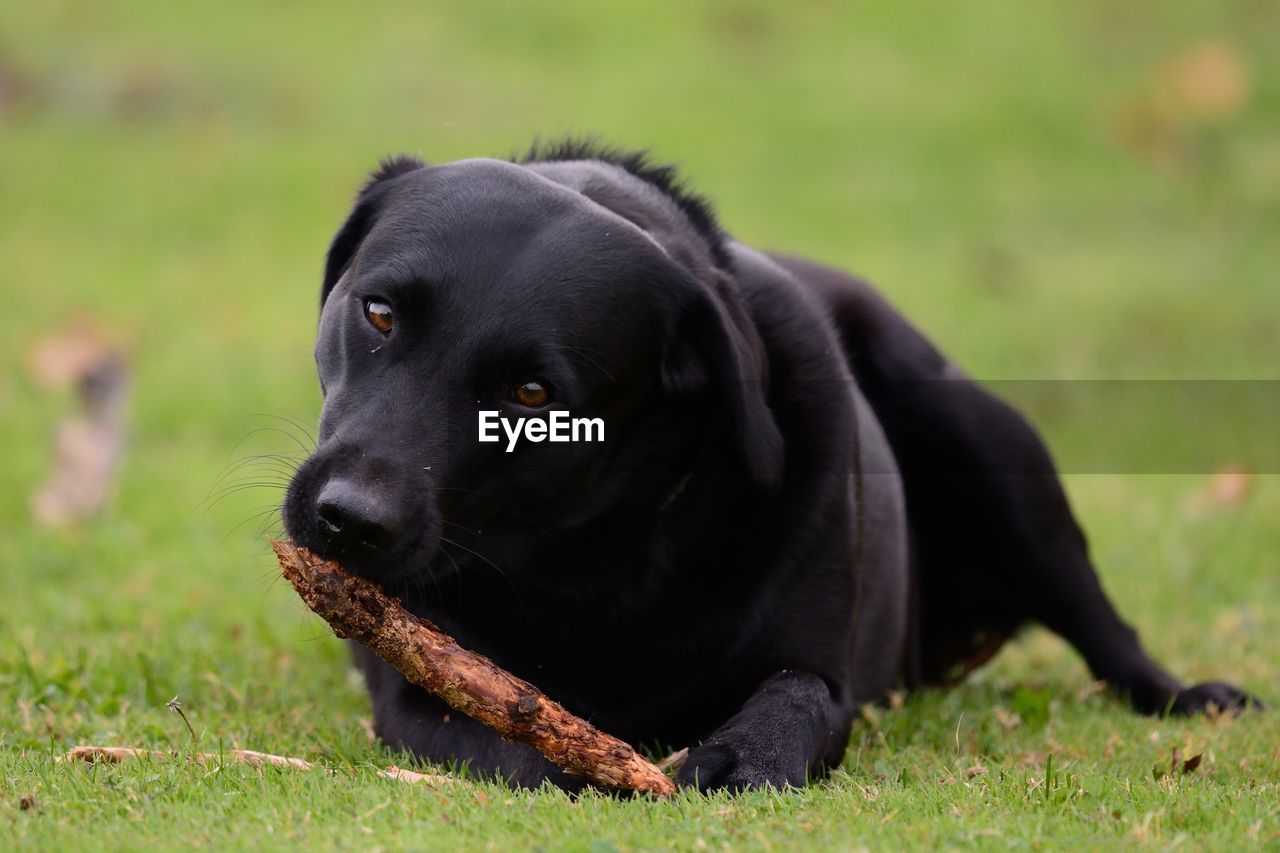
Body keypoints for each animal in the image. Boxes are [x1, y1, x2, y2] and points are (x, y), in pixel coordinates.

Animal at [282, 136, 1259, 788]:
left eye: (531, 394)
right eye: (378, 313)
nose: (348, 519)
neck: (591, 563)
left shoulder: (823, 668)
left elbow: (797, 694)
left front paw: (741, 756)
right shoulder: (416, 693)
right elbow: (514, 743)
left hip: (992, 442)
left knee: (1105, 627)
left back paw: (1190, 696)